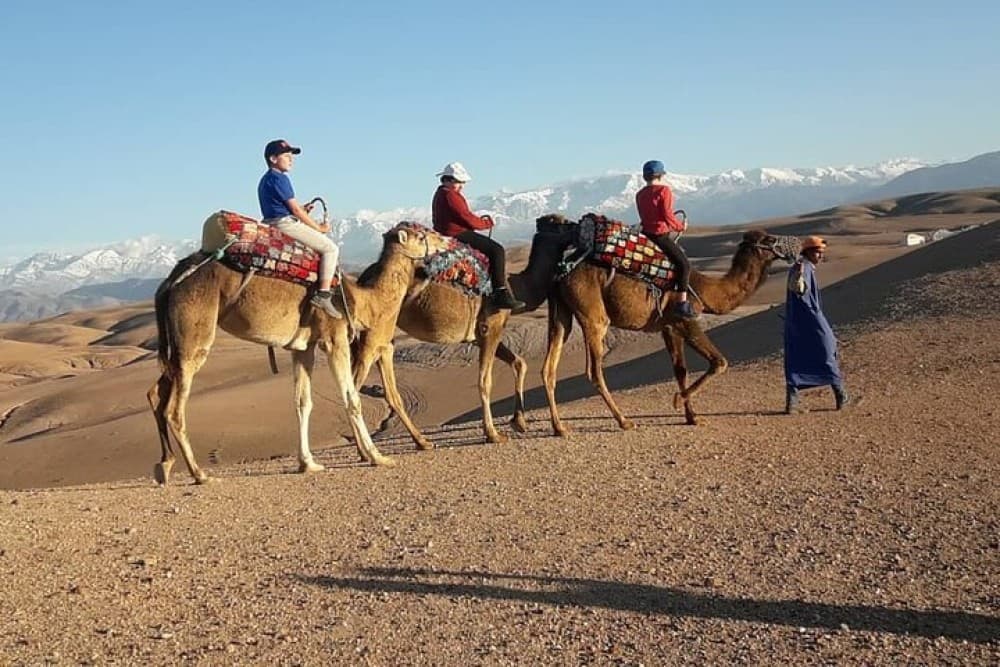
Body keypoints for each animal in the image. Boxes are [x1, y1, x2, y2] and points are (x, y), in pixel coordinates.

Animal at [147, 223, 445, 485]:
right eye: (421, 235)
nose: (444, 239)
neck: (362, 301)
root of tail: (170, 283)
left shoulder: (303, 347)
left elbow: (303, 402)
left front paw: (308, 463)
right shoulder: (335, 338)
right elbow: (352, 399)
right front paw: (378, 457)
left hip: (177, 344)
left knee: (156, 393)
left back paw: (164, 465)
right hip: (194, 334)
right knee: (175, 408)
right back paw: (200, 474)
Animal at [351, 215, 580, 448]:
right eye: (561, 223)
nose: (579, 225)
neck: (517, 288)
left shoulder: (481, 334)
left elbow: (519, 363)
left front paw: (519, 422)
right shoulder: (491, 325)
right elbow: (485, 381)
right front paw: (493, 434)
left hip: (386, 335)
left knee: (388, 385)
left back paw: (420, 442)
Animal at [542, 223, 800, 434]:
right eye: (769, 240)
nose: (796, 244)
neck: (705, 289)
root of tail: (560, 273)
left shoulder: (668, 326)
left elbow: (680, 370)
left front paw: (692, 417)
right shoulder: (685, 319)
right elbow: (719, 362)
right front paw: (677, 401)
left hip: (561, 313)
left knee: (549, 366)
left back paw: (560, 428)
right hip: (593, 314)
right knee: (594, 369)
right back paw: (624, 421)